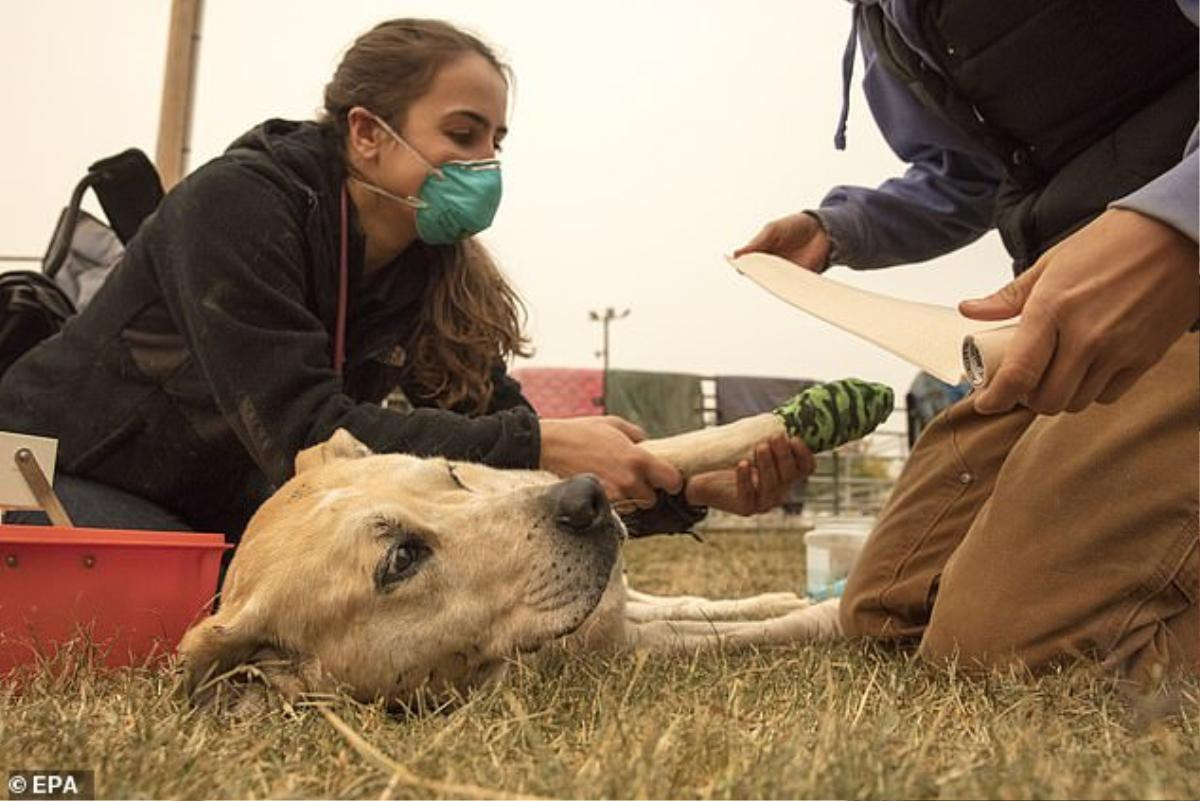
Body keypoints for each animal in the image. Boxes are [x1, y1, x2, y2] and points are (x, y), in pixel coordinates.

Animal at [180, 381, 892, 705]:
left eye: (449, 471)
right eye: (401, 559)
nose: (586, 498)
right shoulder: (624, 644)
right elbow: (731, 631)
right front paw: (827, 614)